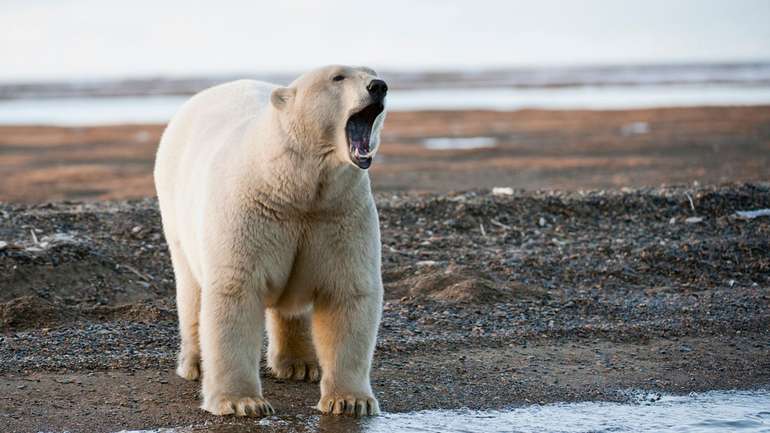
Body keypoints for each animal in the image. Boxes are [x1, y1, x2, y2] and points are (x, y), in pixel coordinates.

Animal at [153, 66, 388, 416]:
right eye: (338, 77)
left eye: (372, 72)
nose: (379, 86)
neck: (294, 185)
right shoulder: (251, 212)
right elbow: (235, 290)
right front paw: (242, 402)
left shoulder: (338, 213)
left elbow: (349, 291)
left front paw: (350, 401)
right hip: (176, 212)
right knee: (191, 289)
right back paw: (194, 363)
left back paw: (301, 364)